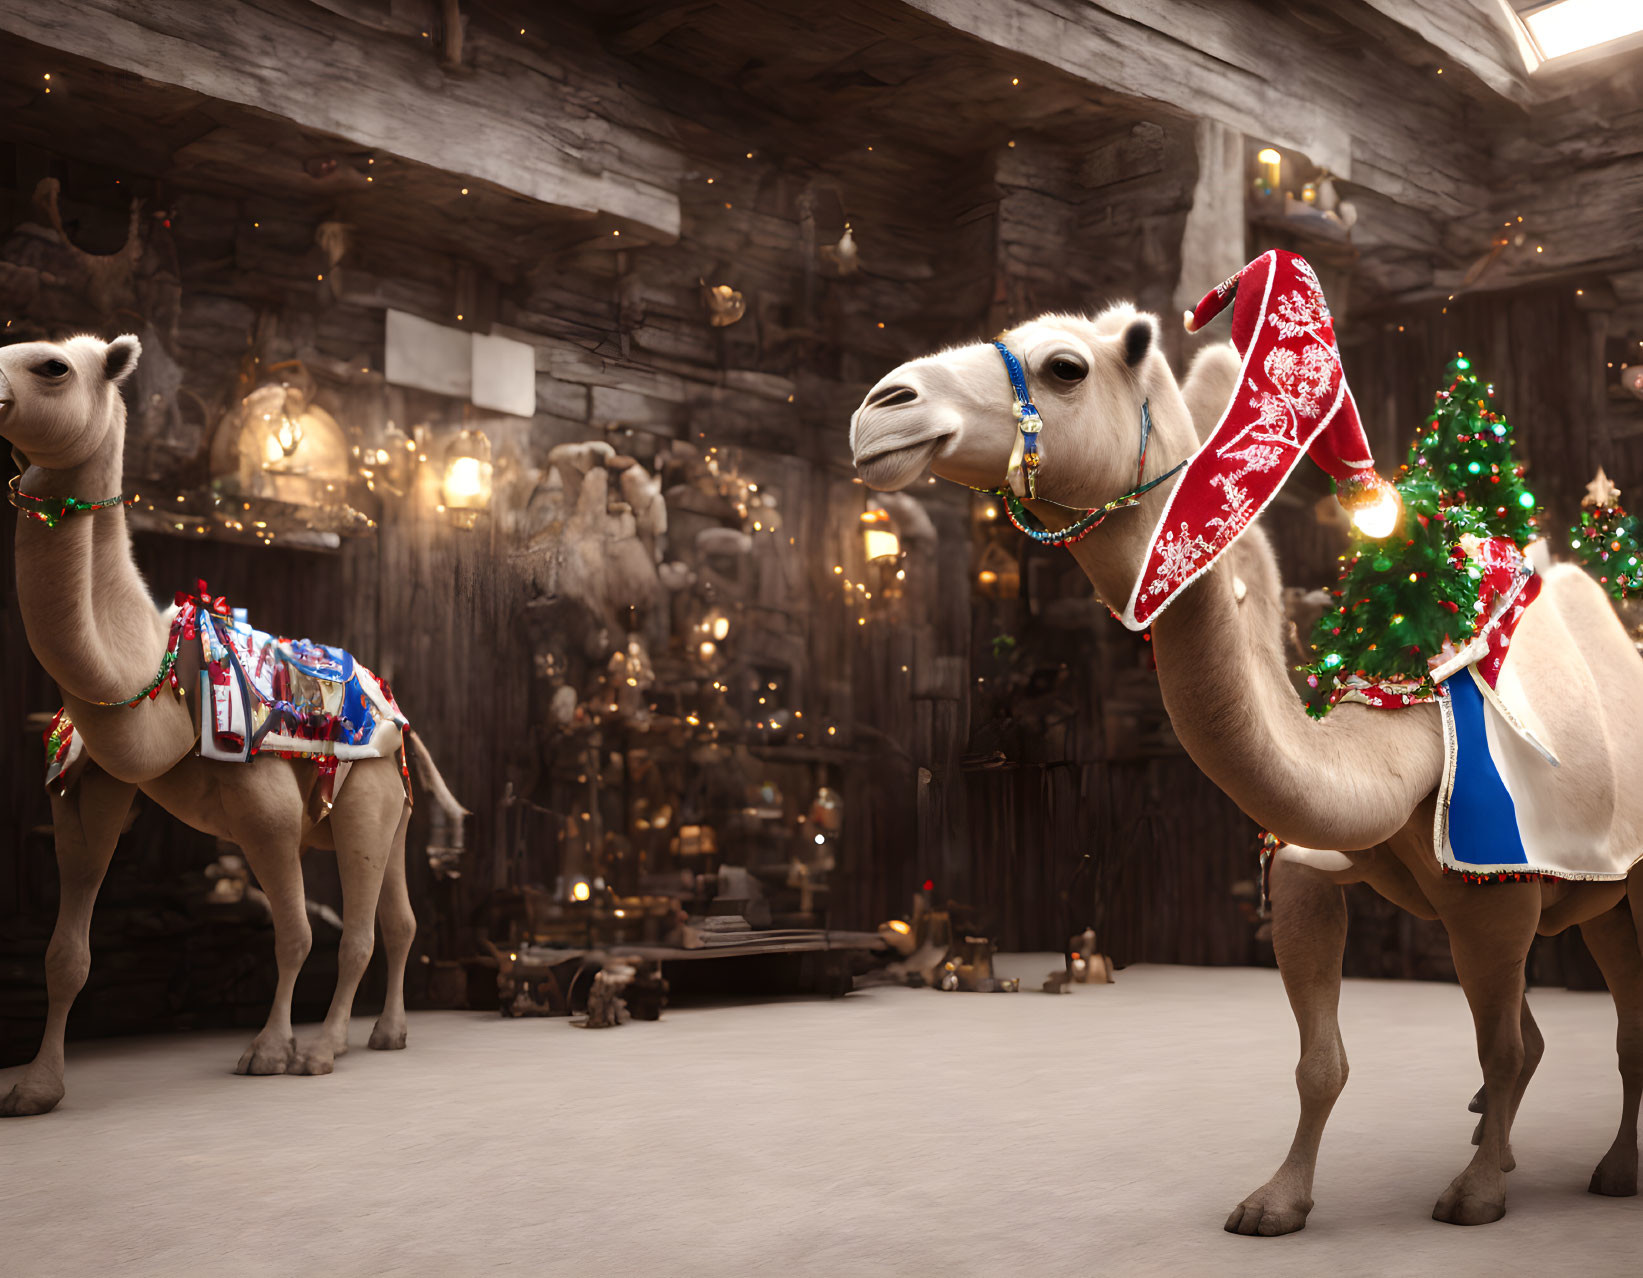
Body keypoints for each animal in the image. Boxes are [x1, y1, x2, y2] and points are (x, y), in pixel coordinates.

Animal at [0, 331, 466, 1117]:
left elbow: (296, 934)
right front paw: (35, 1088)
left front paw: (270, 1052)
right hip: (390, 812)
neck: (153, 676)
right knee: (399, 919)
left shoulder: (263, 803)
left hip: (366, 794)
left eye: (52, 367)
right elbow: (65, 954)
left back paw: (322, 1050)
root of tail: (398, 715)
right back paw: (381, 1035)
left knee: (360, 930)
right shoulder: (88, 790)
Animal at [847, 254, 1643, 1228]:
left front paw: (1476, 1195)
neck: (1393, 728)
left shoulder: (1495, 886)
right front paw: (1277, 1202)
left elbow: (1501, 1049)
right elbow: (1321, 1061)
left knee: (1608, 1028)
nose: (880, 408)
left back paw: (1610, 1171)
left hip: (1618, 888)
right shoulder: (1305, 869)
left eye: (1063, 366)